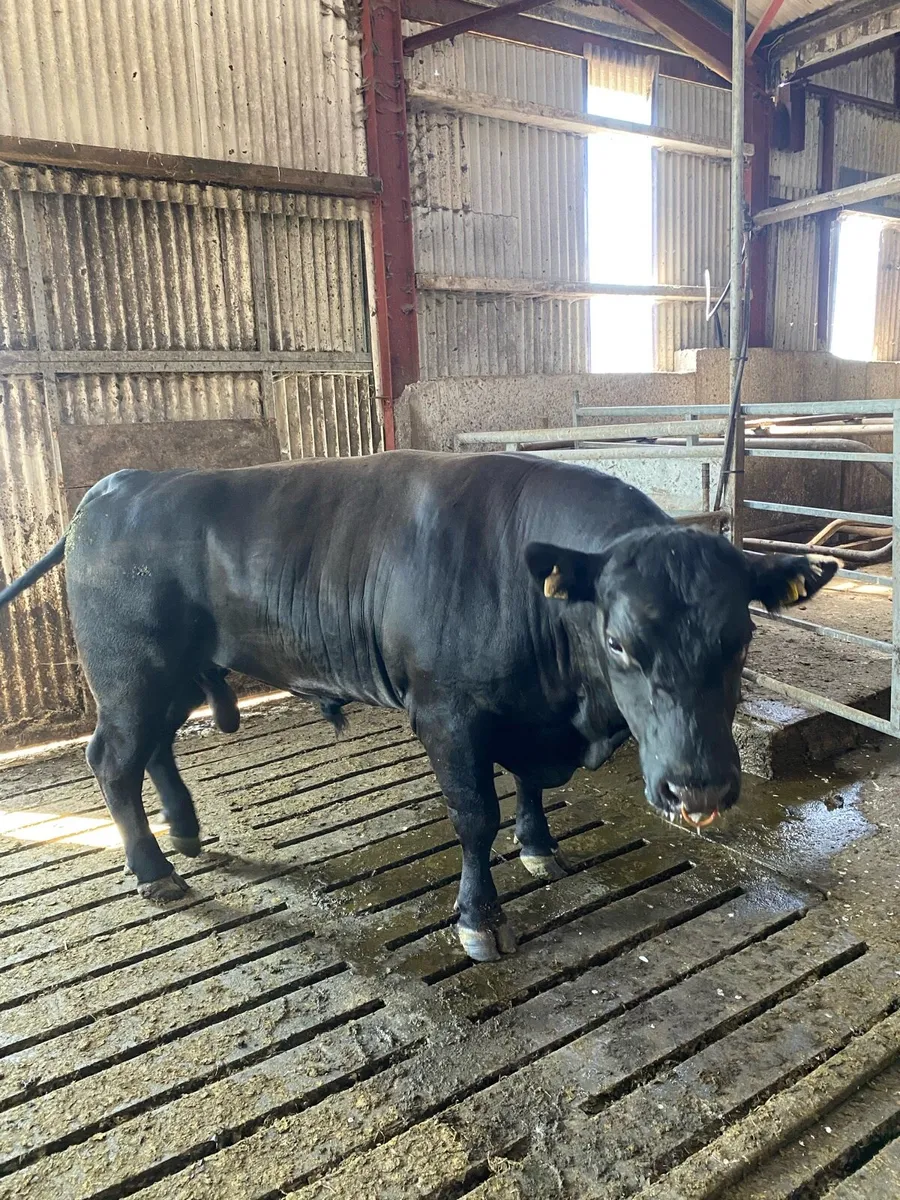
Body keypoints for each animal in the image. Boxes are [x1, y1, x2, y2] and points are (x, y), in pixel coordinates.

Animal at [0, 451, 836, 961]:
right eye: (620, 641)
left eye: (741, 636)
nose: (699, 787)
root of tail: (120, 484)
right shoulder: (446, 712)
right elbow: (475, 816)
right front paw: (478, 920)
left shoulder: (525, 716)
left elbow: (527, 789)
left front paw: (539, 847)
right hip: (130, 673)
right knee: (112, 759)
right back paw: (153, 869)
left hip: (168, 676)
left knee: (157, 749)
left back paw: (184, 831)